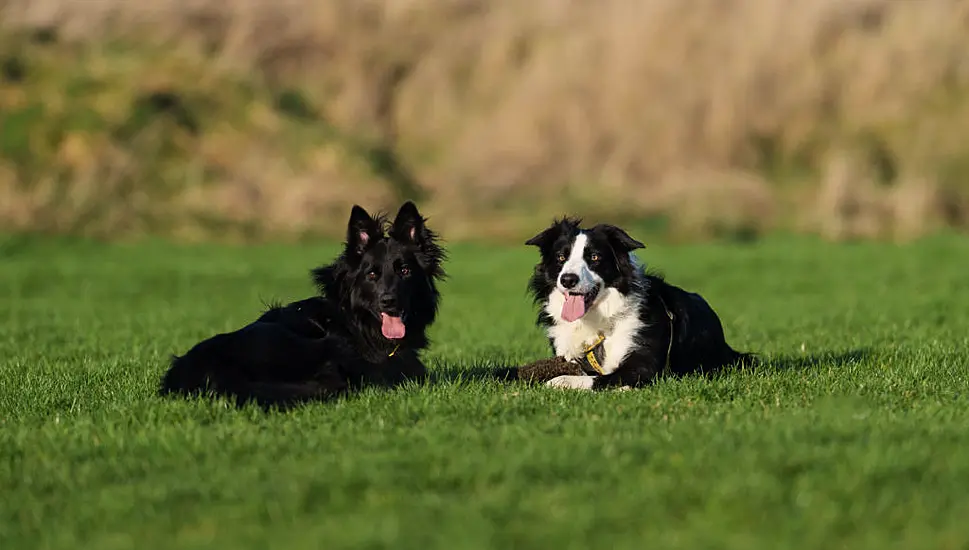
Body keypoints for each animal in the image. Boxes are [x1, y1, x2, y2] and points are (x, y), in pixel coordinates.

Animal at [502, 218, 752, 390]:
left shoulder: (642, 364)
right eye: (561, 257)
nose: (568, 279)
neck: (598, 321)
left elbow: (598, 379)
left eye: (594, 257)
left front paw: (561, 381)